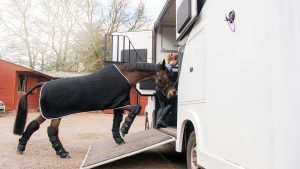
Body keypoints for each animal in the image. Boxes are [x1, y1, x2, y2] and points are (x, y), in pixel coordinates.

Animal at [12, 60, 176, 158]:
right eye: (165, 77)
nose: (173, 93)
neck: (125, 76)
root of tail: (43, 84)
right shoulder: (121, 103)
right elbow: (136, 108)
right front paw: (124, 130)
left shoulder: (118, 104)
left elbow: (116, 121)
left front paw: (119, 138)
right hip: (55, 115)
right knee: (51, 131)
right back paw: (62, 152)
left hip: (49, 114)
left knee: (33, 125)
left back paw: (21, 147)